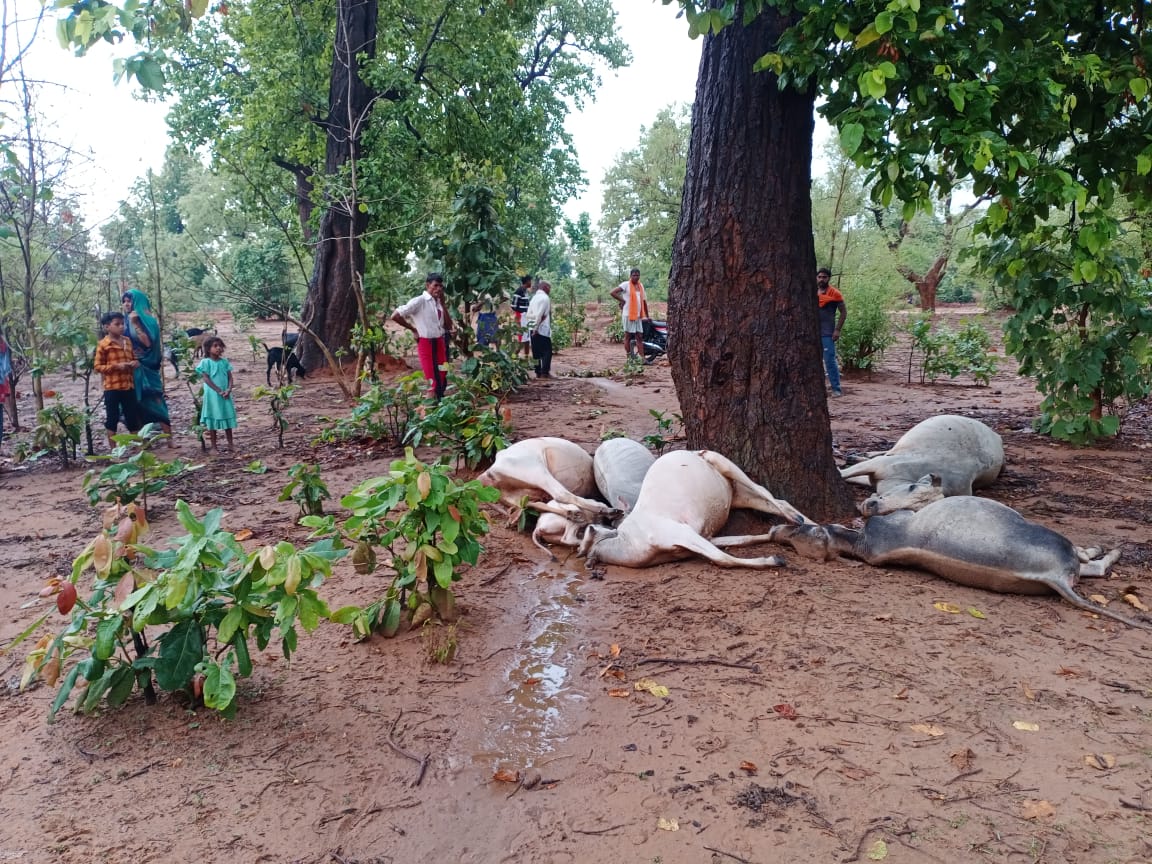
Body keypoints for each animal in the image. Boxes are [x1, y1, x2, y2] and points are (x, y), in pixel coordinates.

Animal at [576, 449, 811, 571]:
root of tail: (693, 451)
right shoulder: (703, 537)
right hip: (737, 495)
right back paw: (808, 525)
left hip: (722, 462)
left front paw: (775, 560)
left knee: (765, 491)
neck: (628, 543)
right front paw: (775, 537)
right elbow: (741, 540)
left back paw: (798, 521)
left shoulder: (682, 532)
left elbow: (722, 559)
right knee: (776, 500)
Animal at [764, 497, 1152, 631]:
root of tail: (1055, 575)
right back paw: (1108, 551)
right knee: (1089, 564)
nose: (776, 529)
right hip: (1057, 544)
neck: (862, 543)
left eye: (798, 530)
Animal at [838, 417, 1009, 518]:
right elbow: (844, 473)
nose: (872, 506)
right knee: (884, 451)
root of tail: (997, 436)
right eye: (912, 487)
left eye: (912, 510)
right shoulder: (879, 464)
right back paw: (858, 455)